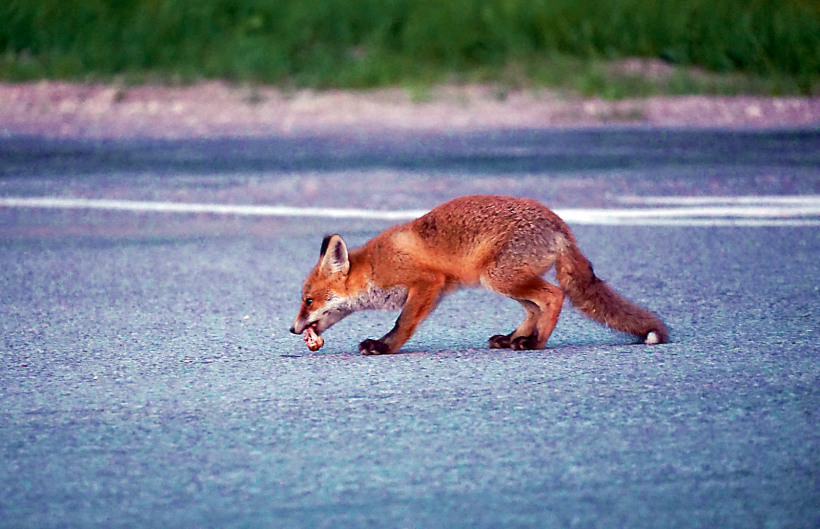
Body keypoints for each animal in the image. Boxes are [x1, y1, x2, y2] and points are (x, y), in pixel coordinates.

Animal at [290, 195, 668, 355]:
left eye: (308, 300)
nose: (292, 329)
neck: (372, 267)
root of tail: (561, 225)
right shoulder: (432, 291)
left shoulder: (427, 283)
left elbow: (403, 323)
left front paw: (384, 347)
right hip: (503, 280)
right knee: (534, 307)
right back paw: (512, 338)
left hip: (501, 277)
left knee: (554, 296)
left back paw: (535, 343)